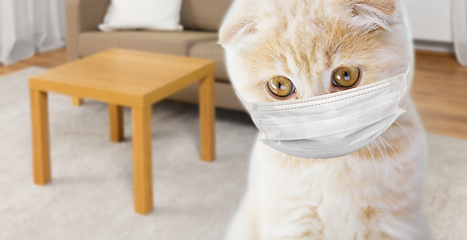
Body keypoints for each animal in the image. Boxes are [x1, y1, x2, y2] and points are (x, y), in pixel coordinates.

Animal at [220, 0, 436, 240]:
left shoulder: (395, 223)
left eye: (345, 75)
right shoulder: (292, 223)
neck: (334, 163)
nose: (319, 121)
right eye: (280, 86)